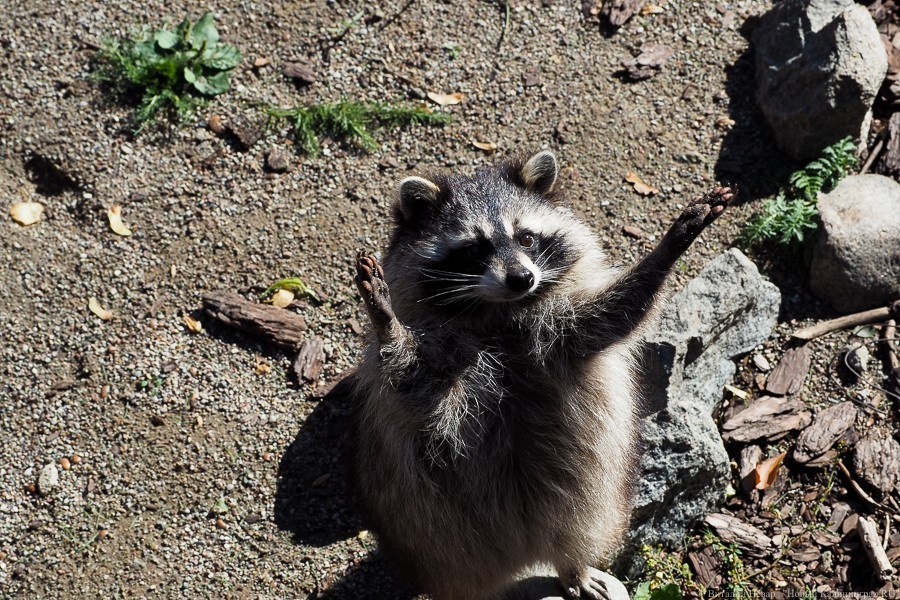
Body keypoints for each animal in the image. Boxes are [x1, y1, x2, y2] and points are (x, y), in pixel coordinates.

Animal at [348, 151, 728, 600]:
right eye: (474, 249)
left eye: (527, 238)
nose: (522, 278)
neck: (498, 315)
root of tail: (525, 552)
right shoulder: (437, 375)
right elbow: (413, 386)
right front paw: (387, 322)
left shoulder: (561, 336)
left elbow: (615, 315)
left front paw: (670, 246)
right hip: (429, 537)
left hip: (596, 495)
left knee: (581, 520)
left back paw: (572, 565)